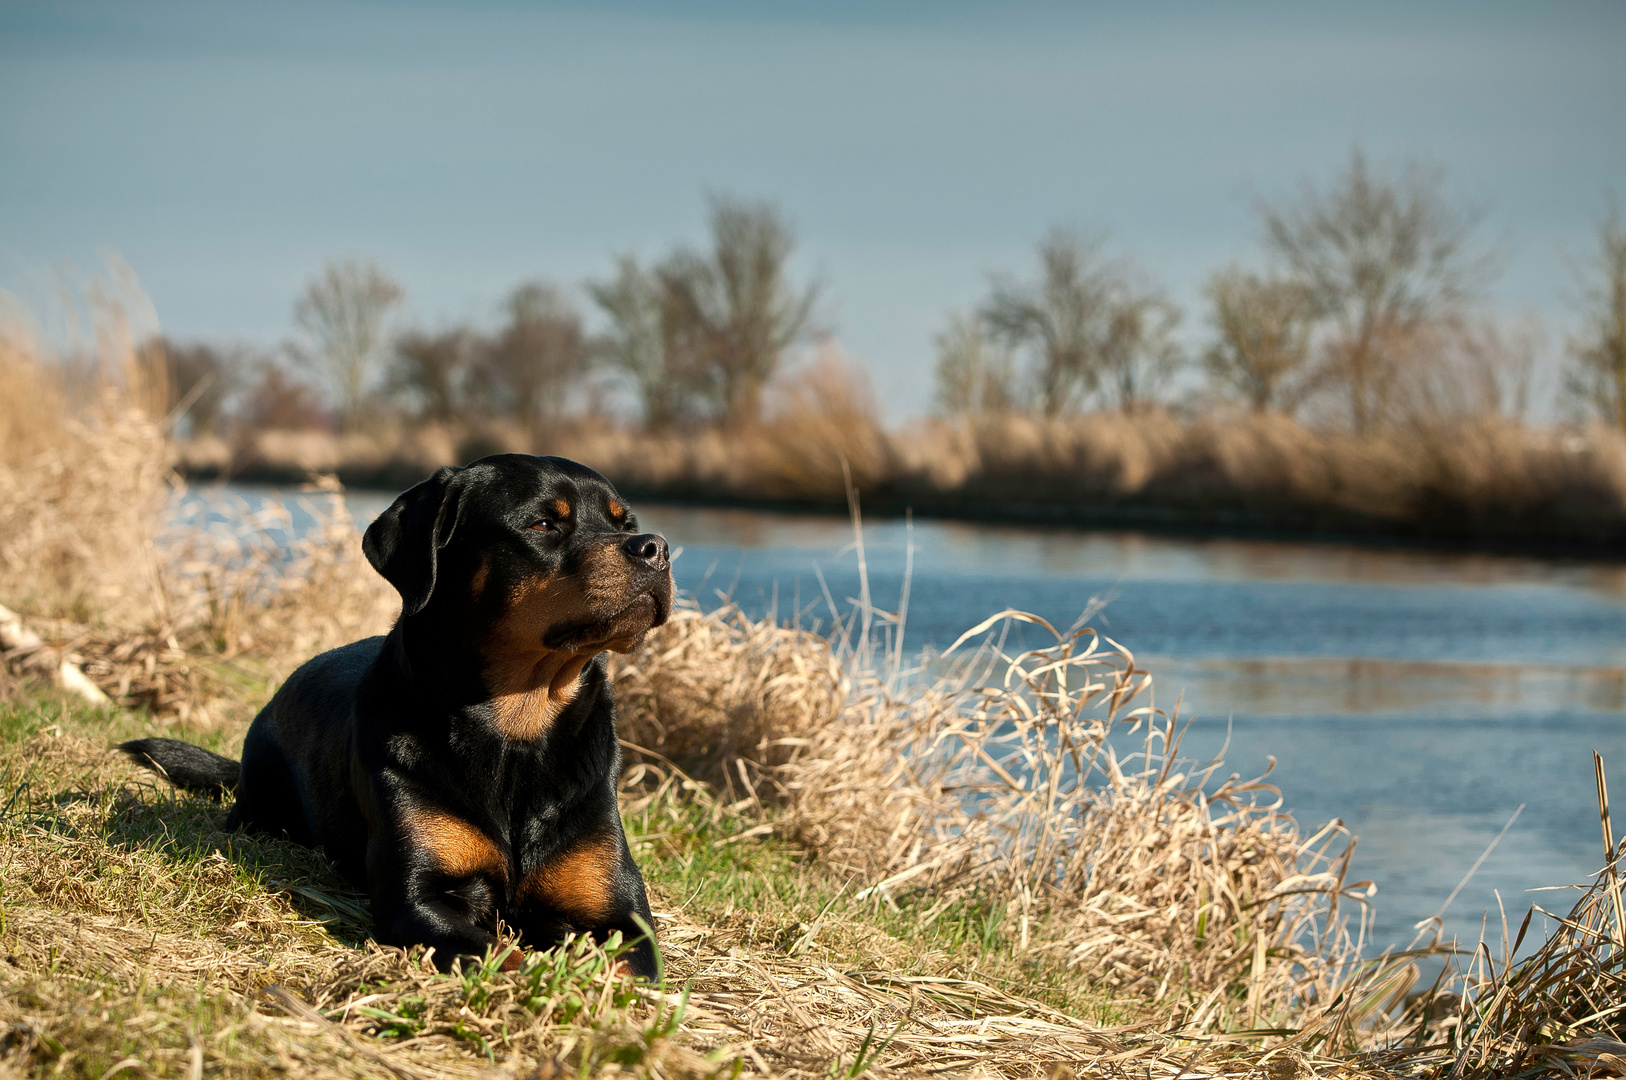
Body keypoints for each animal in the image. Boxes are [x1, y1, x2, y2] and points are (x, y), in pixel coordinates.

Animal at [117, 452, 669, 975]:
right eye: (543, 524)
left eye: (625, 523)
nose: (655, 547)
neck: (517, 730)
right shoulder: (417, 900)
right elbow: (499, 957)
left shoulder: (620, 917)